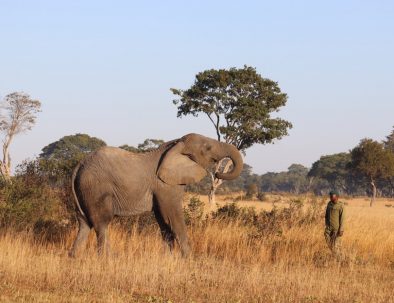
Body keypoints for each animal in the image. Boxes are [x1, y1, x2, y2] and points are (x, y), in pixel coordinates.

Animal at [69, 132, 245, 256]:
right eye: (207, 148)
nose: (218, 173)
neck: (176, 144)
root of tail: (79, 165)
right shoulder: (165, 185)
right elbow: (172, 216)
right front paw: (188, 259)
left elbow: (163, 221)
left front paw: (169, 258)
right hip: (96, 188)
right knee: (102, 224)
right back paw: (108, 258)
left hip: (83, 191)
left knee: (84, 224)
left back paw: (75, 257)